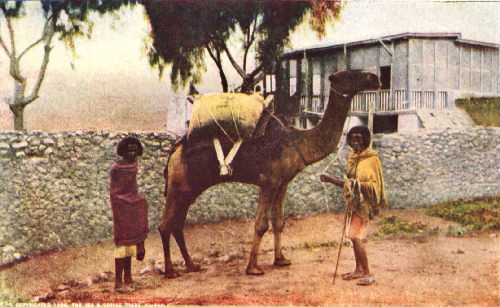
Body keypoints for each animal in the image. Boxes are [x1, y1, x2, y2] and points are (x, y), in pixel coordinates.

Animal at [160, 71, 378, 278]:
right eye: (349, 75)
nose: (375, 78)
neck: (296, 142)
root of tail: (175, 151)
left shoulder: (283, 183)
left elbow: (278, 221)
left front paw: (281, 259)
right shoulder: (269, 181)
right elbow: (261, 224)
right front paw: (253, 268)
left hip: (189, 189)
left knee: (177, 225)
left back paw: (192, 265)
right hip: (178, 184)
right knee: (165, 225)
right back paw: (171, 271)